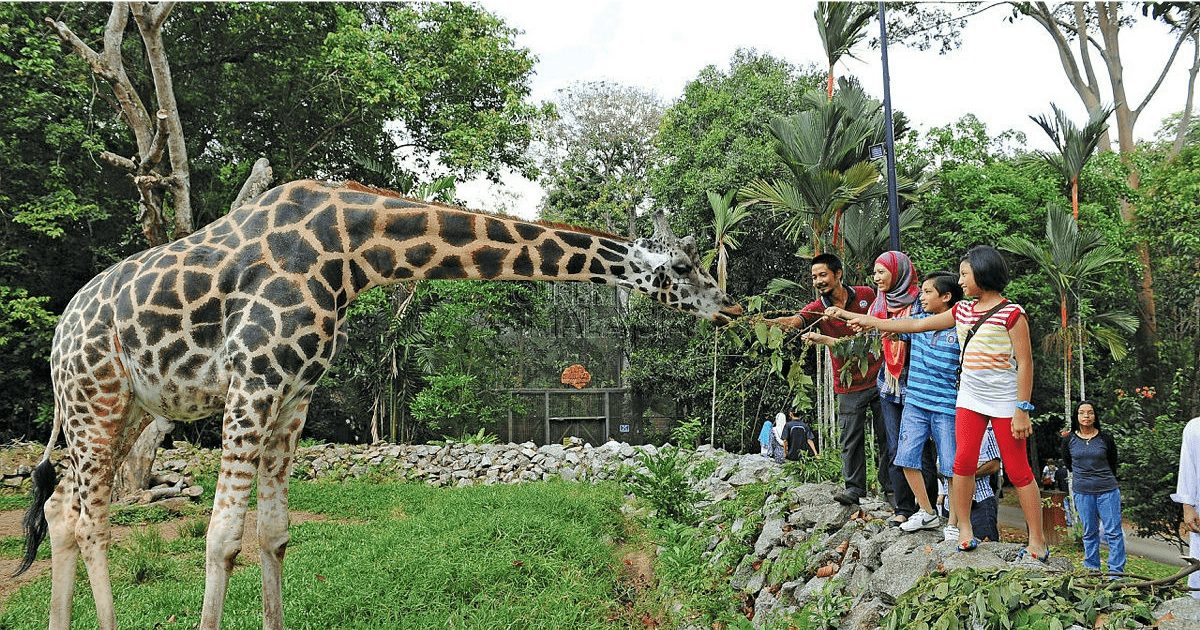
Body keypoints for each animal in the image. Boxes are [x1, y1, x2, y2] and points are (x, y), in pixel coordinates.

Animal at [18, 178, 744, 624]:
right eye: (683, 268)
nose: (732, 307)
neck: (350, 251)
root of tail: (59, 334)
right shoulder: (254, 382)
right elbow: (222, 537)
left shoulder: (293, 397)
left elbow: (274, 535)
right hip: (94, 395)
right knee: (89, 517)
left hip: (124, 407)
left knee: (61, 509)